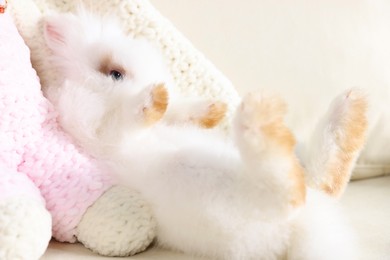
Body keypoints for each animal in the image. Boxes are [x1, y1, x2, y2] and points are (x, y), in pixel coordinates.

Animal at [43, 10, 368, 260]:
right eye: (115, 73)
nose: (161, 88)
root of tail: (304, 228)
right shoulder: (97, 127)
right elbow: (123, 120)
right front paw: (154, 100)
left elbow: (178, 114)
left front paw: (210, 110)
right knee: (289, 191)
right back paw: (259, 117)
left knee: (319, 181)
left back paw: (350, 109)